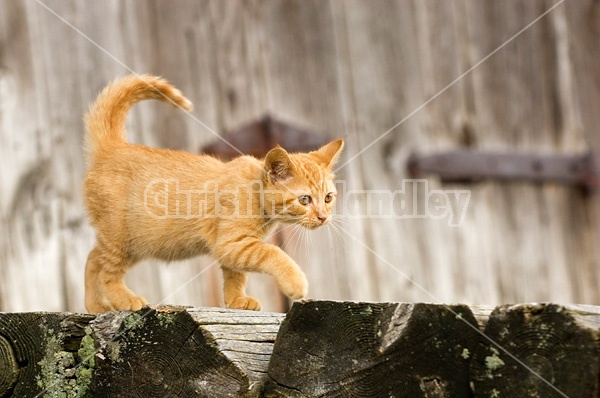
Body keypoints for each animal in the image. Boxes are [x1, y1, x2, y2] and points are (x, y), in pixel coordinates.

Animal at [82, 74, 344, 314]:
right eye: (304, 199)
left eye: (328, 198)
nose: (323, 217)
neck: (254, 192)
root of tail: (113, 147)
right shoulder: (231, 243)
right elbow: (273, 253)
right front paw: (295, 282)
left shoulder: (237, 247)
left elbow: (236, 274)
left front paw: (237, 300)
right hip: (121, 236)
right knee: (106, 271)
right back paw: (124, 300)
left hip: (135, 241)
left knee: (93, 259)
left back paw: (96, 306)